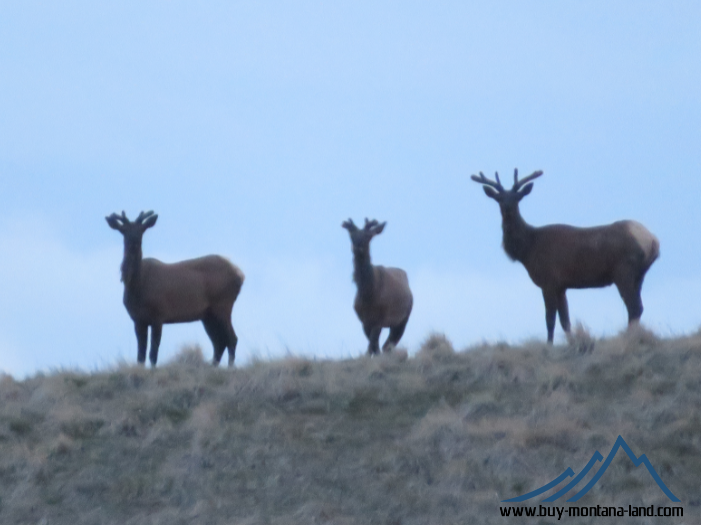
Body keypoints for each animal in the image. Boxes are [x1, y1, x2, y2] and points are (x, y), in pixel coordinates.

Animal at [105, 211, 245, 366]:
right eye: (123, 230)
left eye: (142, 229)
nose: (134, 242)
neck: (137, 288)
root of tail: (240, 275)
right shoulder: (138, 320)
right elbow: (140, 356)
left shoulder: (158, 315)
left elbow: (153, 354)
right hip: (208, 315)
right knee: (219, 343)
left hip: (223, 304)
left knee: (231, 339)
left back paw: (229, 367)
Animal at [342, 217, 412, 356]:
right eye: (352, 236)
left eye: (369, 236)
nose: (358, 248)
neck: (368, 295)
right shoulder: (364, 320)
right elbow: (373, 346)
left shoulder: (380, 318)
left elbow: (373, 346)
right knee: (386, 345)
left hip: (404, 318)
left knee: (390, 343)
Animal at [470, 169, 656, 344]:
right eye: (499, 198)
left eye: (518, 197)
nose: (508, 209)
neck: (527, 250)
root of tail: (653, 241)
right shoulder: (561, 285)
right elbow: (565, 320)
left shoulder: (549, 281)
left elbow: (550, 319)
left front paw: (549, 345)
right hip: (639, 275)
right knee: (638, 307)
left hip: (623, 271)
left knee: (634, 307)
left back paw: (629, 337)